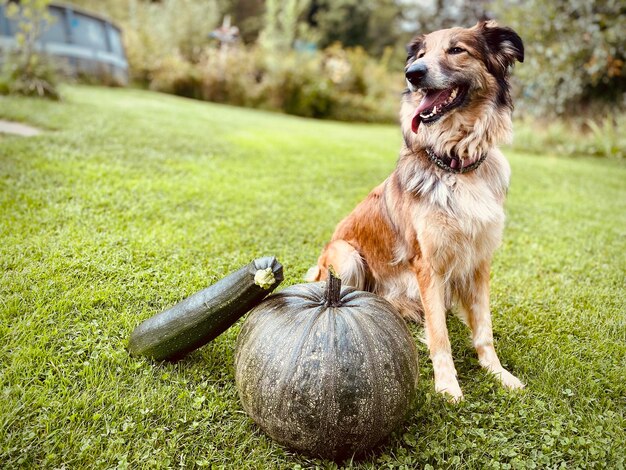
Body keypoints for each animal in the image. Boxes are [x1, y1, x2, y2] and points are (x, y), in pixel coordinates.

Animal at [304, 20, 524, 398]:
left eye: (456, 50)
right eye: (420, 54)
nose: (412, 74)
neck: (456, 165)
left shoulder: (479, 261)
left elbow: (484, 328)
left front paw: (498, 373)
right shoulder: (428, 265)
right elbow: (439, 334)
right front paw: (448, 386)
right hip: (345, 255)